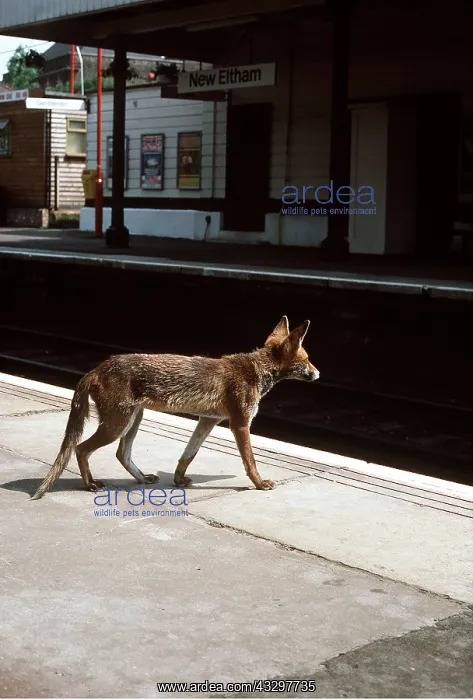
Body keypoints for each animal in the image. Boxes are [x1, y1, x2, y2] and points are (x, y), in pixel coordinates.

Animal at [30, 315, 319, 500]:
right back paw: (90, 484)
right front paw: (259, 484)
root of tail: (97, 368)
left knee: (121, 454)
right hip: (117, 425)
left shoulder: (207, 420)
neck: (254, 370)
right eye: (307, 359)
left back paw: (142, 478)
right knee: (81, 448)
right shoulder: (239, 424)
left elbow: (187, 454)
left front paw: (179, 480)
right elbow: (250, 462)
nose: (319, 374)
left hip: (133, 421)